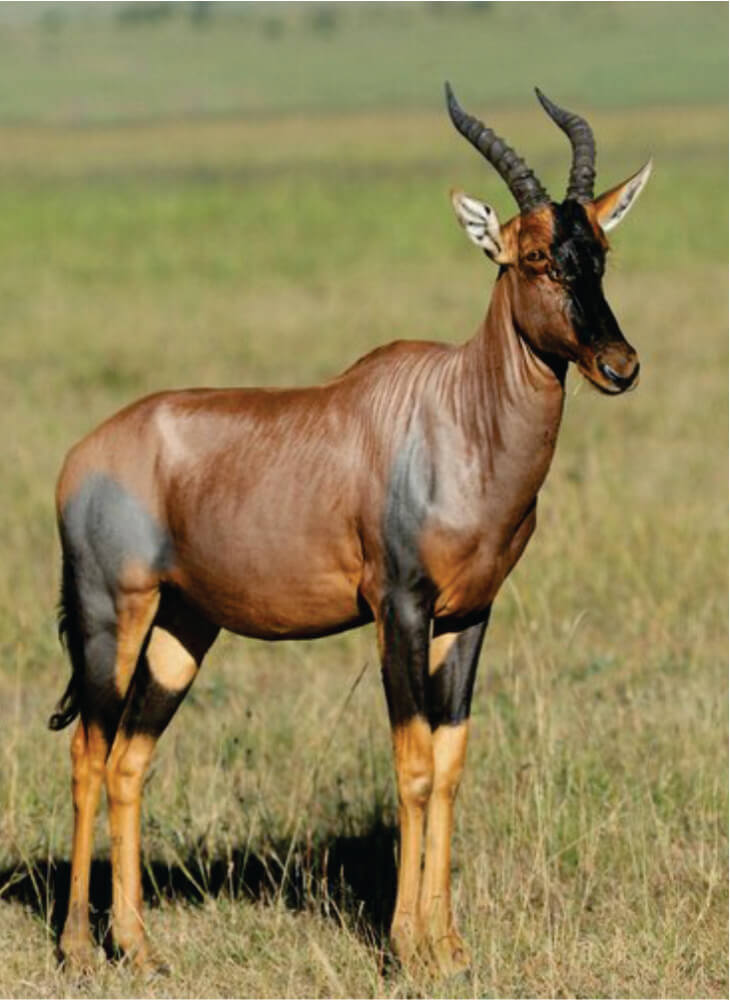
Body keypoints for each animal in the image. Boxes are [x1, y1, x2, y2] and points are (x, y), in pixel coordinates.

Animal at [52, 86, 648, 976]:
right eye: (534, 256)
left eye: (601, 248)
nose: (619, 365)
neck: (455, 410)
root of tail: (82, 456)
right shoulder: (398, 606)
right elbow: (411, 762)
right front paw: (406, 947)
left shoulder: (470, 615)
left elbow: (450, 762)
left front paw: (450, 945)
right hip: (109, 613)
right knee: (88, 754)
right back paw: (79, 950)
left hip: (184, 627)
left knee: (129, 760)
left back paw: (142, 948)